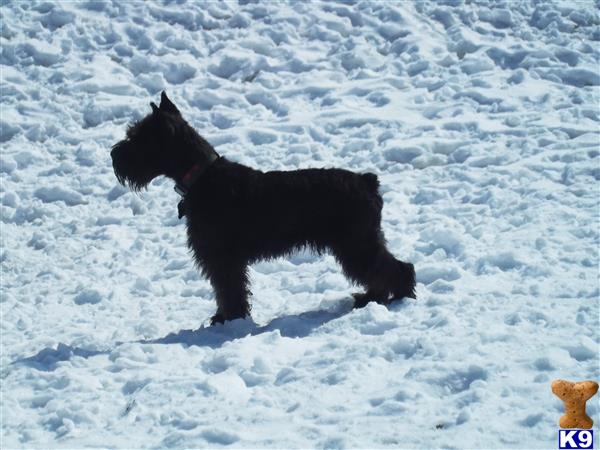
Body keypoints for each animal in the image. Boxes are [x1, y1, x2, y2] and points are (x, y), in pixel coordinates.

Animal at [110, 91, 414, 324]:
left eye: (137, 138)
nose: (114, 154)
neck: (202, 176)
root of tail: (367, 181)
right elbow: (228, 289)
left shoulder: (222, 258)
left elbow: (228, 289)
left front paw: (228, 319)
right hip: (358, 243)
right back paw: (371, 298)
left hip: (356, 243)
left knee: (394, 268)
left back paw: (397, 294)